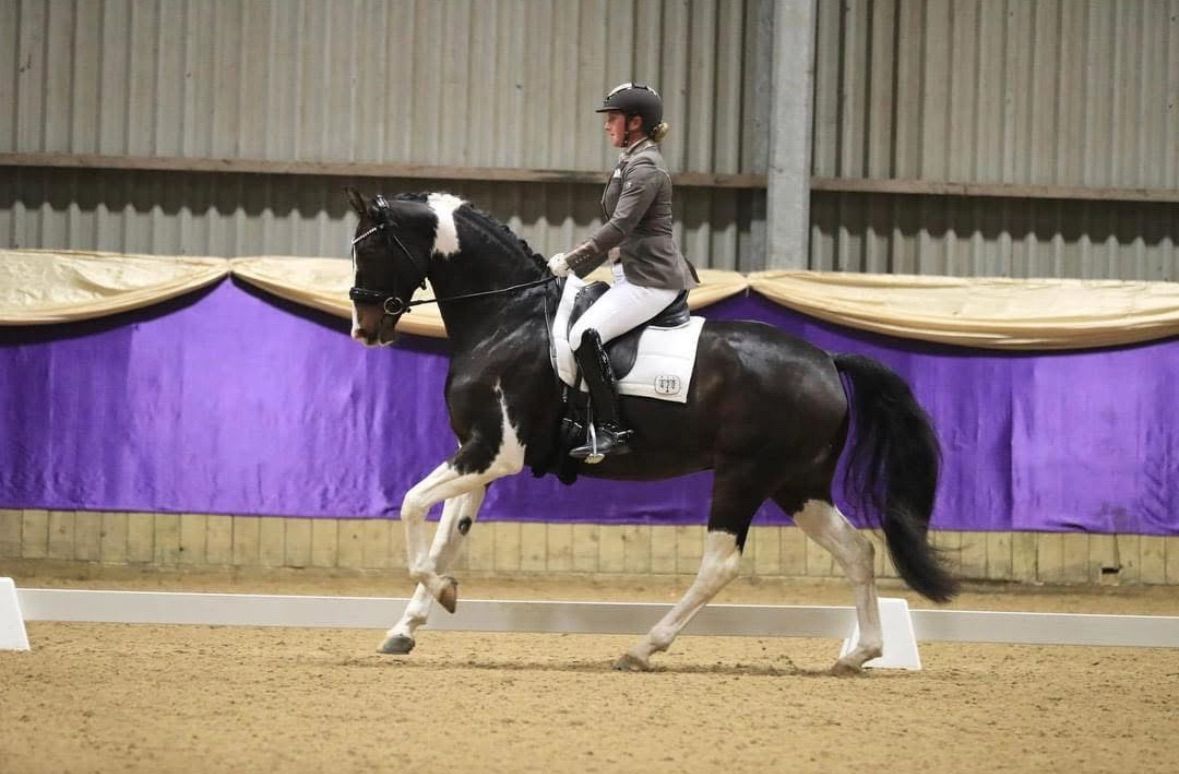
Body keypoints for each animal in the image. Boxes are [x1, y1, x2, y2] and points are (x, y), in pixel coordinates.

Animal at [344, 189, 952, 674]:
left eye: (369, 250)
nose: (362, 331)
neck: (507, 315)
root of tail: (826, 359)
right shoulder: (479, 450)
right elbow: (448, 537)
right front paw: (405, 629)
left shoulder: (496, 451)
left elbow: (410, 505)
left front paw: (443, 594)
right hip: (798, 484)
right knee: (857, 551)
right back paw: (860, 654)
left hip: (746, 475)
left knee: (721, 562)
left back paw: (642, 648)